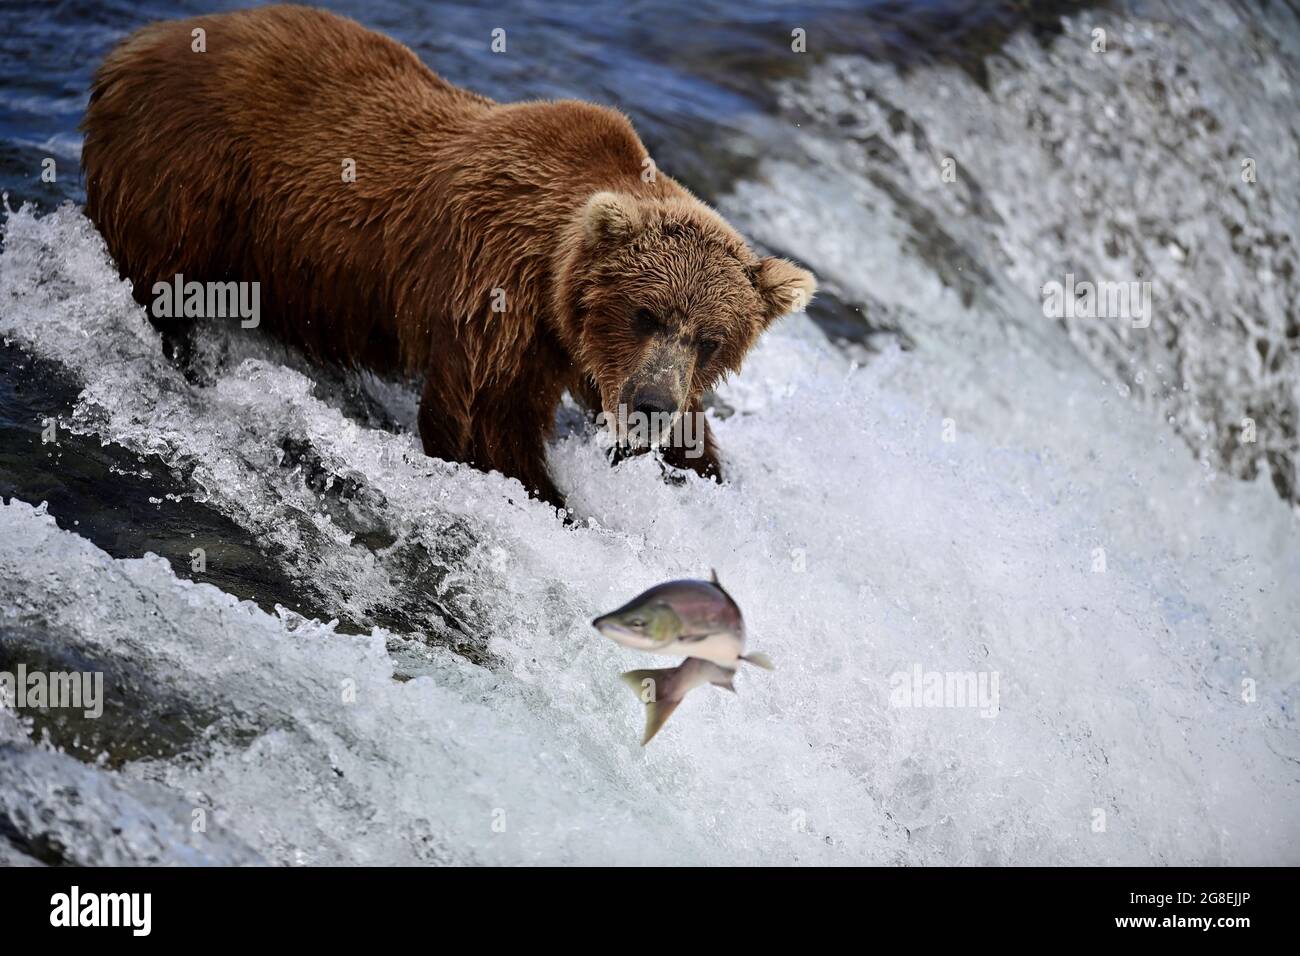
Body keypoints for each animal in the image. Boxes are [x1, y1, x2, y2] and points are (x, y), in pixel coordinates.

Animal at [81, 3, 811, 509]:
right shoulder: (493, 297)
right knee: (167, 284)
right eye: (645, 313)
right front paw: (553, 501)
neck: (552, 283)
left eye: (710, 339)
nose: (653, 403)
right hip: (189, 179)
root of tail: (132, 47)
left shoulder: (573, 344)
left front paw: (697, 466)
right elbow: (485, 427)